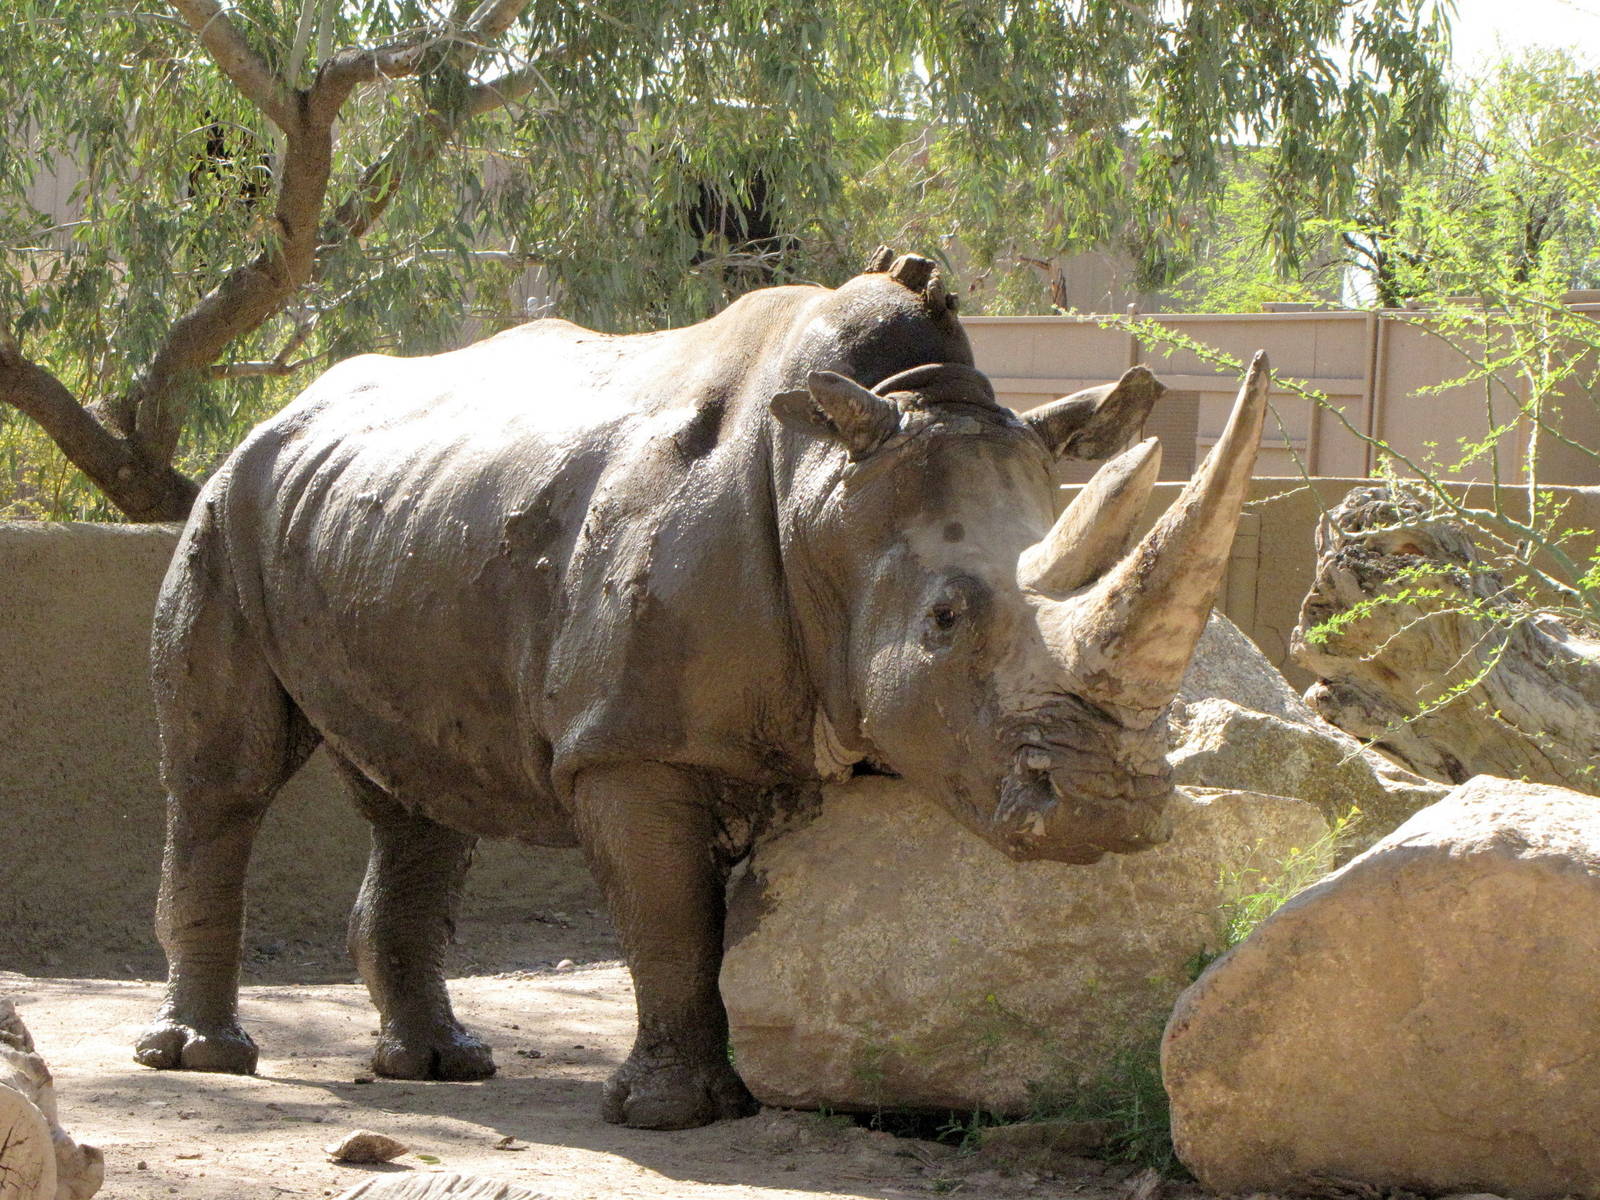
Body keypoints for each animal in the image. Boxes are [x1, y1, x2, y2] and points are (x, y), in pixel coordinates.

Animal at [133, 250, 1269, 1130]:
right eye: (943, 621)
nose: (1108, 813)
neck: (830, 486)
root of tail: (282, 411)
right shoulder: (629, 742)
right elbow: (669, 918)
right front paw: (675, 1115)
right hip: (229, 505)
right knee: (223, 779)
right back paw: (206, 1059)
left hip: (386, 528)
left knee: (421, 792)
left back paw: (440, 1066)